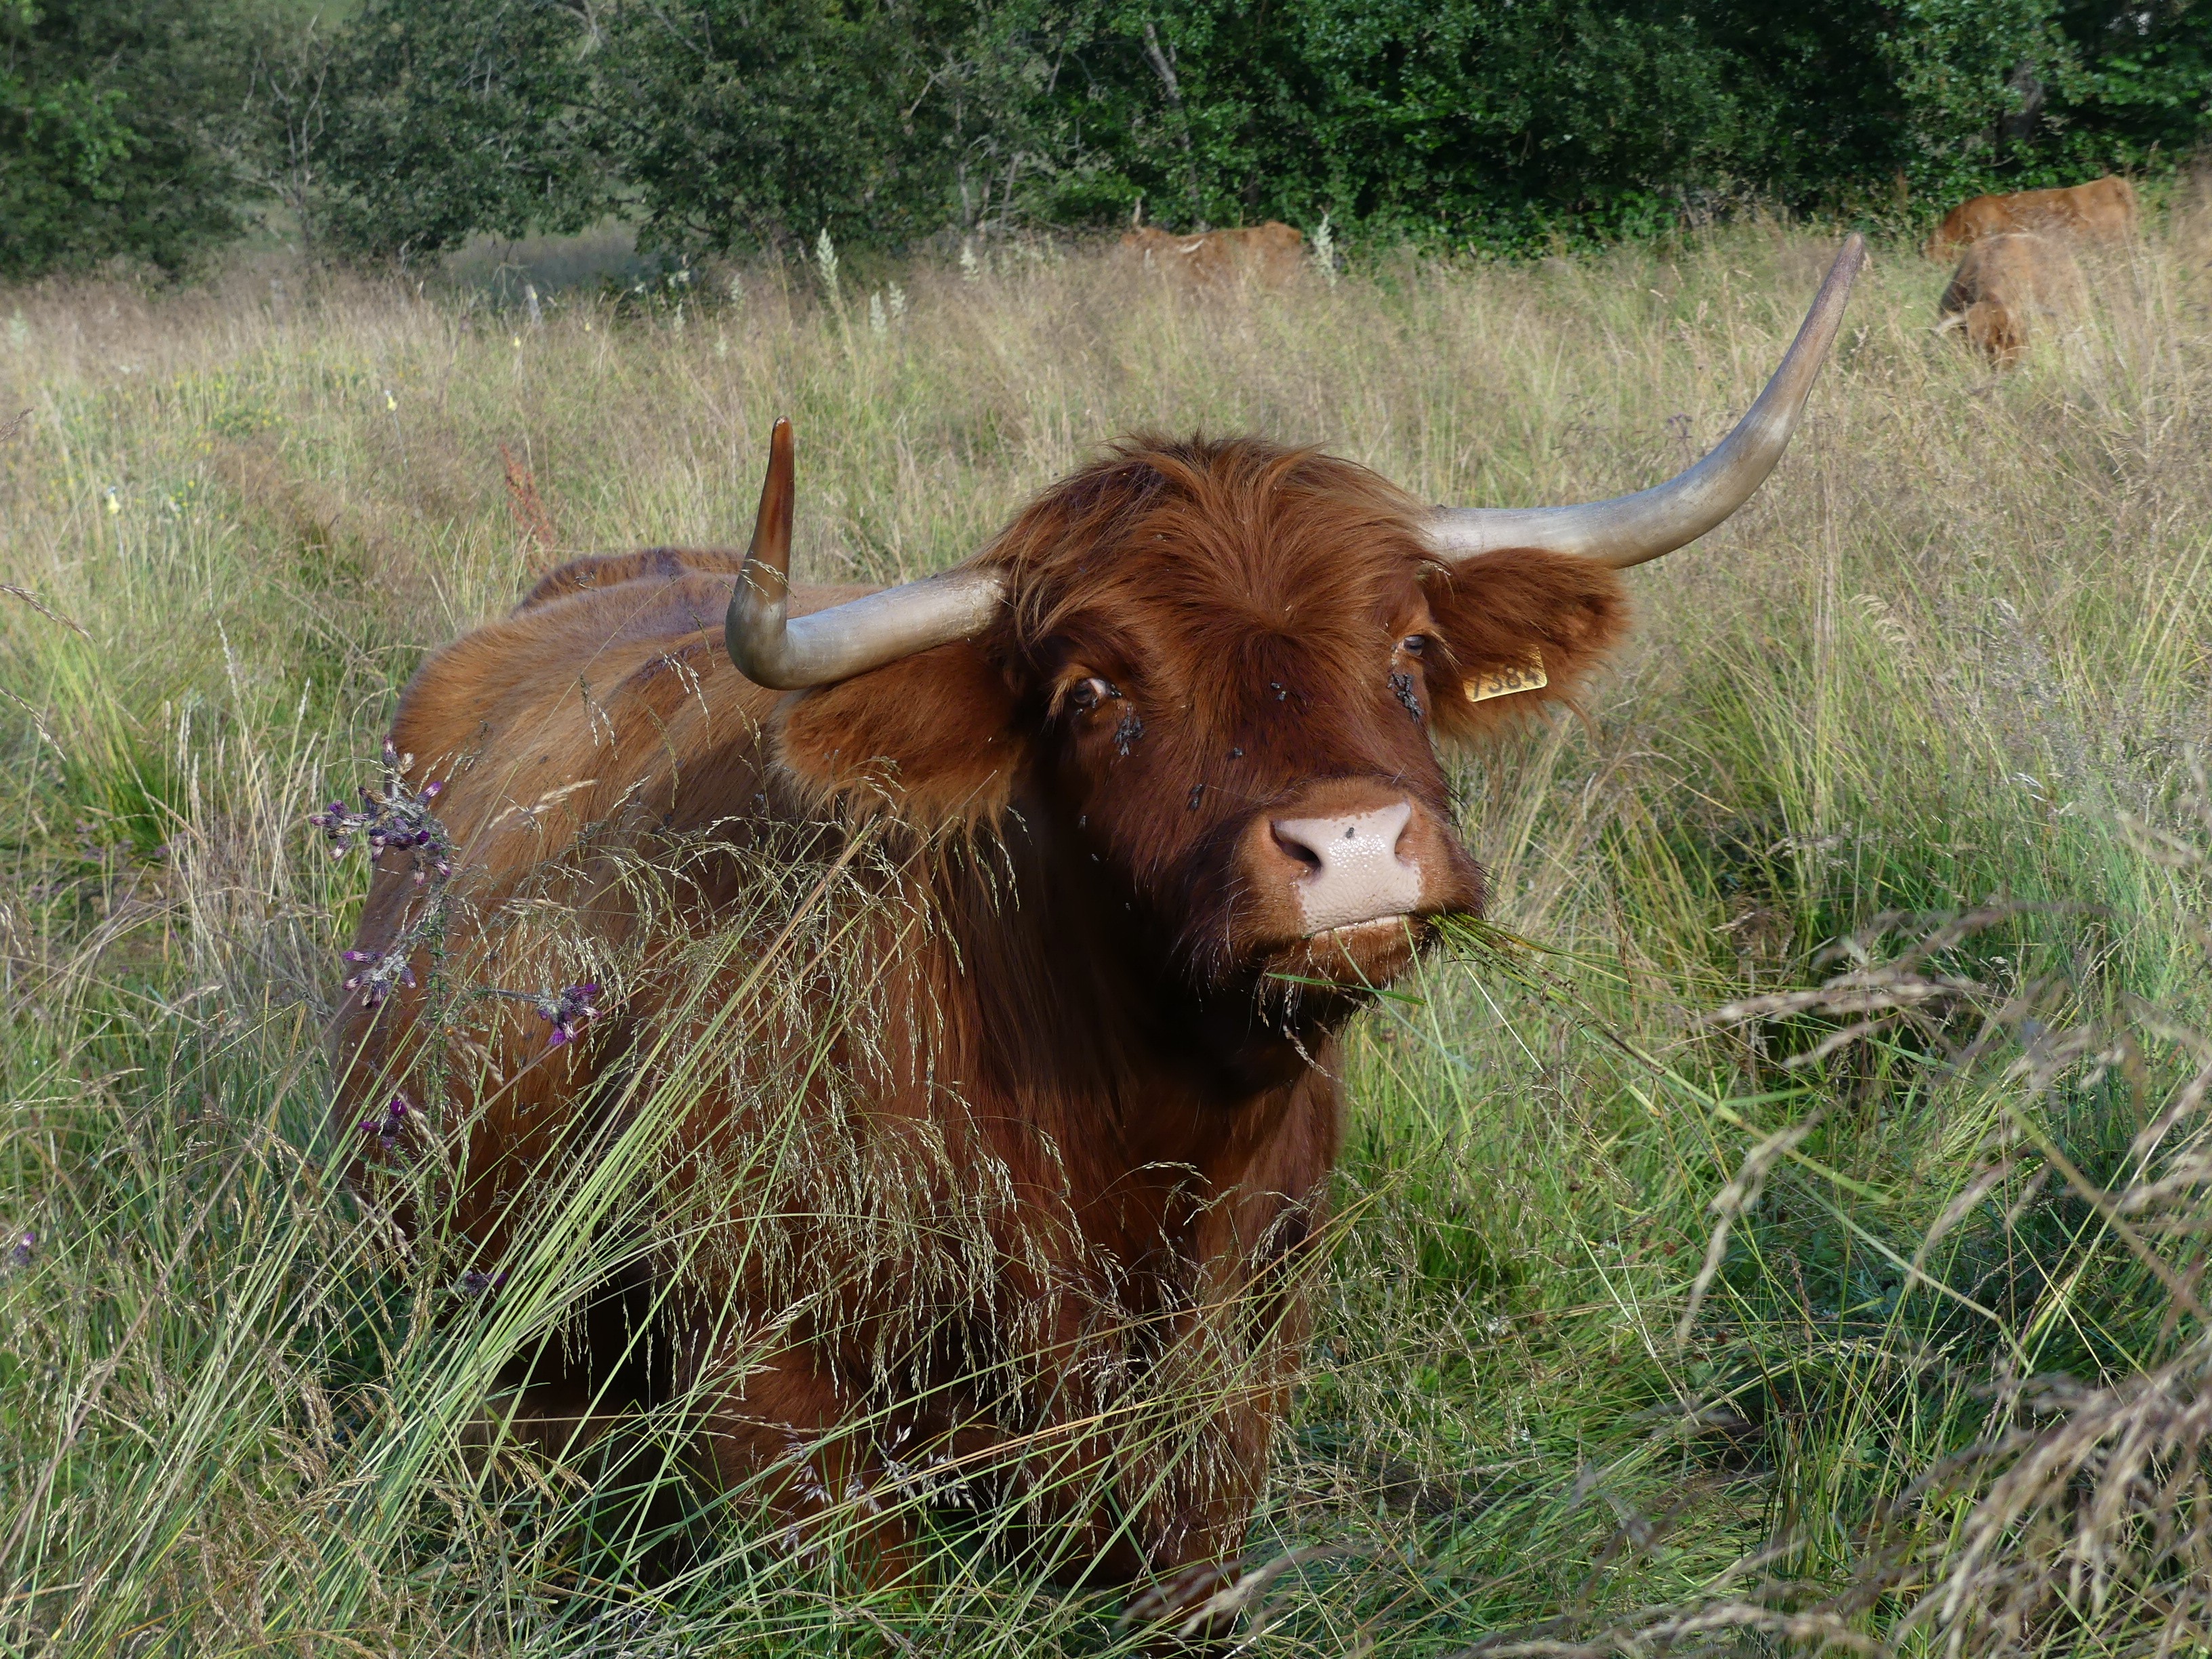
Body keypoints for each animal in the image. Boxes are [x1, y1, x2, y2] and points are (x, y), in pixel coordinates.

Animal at [327, 240, 1866, 1645]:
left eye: (1413, 650)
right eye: (1090, 690)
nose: (1352, 844)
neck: (1135, 1136)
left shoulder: (1243, 1361)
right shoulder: (772, 1386)